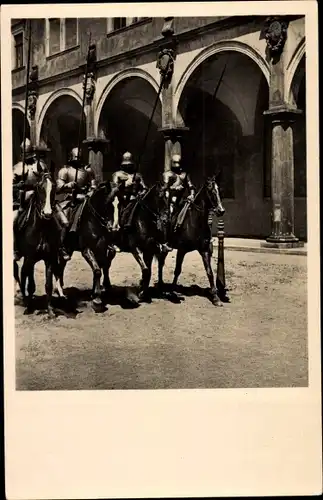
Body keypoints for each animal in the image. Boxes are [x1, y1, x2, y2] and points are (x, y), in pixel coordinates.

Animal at [13, 172, 61, 318]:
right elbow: (29, 284)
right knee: (20, 274)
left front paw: (50, 311)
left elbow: (48, 285)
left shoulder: (49, 259)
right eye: (39, 187)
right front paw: (29, 308)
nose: (47, 213)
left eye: (54, 186)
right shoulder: (30, 259)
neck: (42, 230)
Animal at [54, 180, 119, 312]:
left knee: (62, 265)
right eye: (108, 204)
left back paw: (61, 289)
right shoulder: (87, 250)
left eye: (118, 205)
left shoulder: (103, 248)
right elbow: (97, 270)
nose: (113, 229)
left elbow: (103, 266)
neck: (93, 220)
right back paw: (58, 291)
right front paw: (97, 300)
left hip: (69, 248)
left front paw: (100, 290)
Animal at [156, 176, 225, 308]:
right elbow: (177, 270)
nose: (221, 210)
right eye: (210, 191)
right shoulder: (182, 250)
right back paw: (161, 285)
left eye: (219, 190)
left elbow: (209, 272)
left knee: (161, 262)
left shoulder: (204, 250)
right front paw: (172, 291)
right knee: (160, 262)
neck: (196, 222)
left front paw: (215, 297)